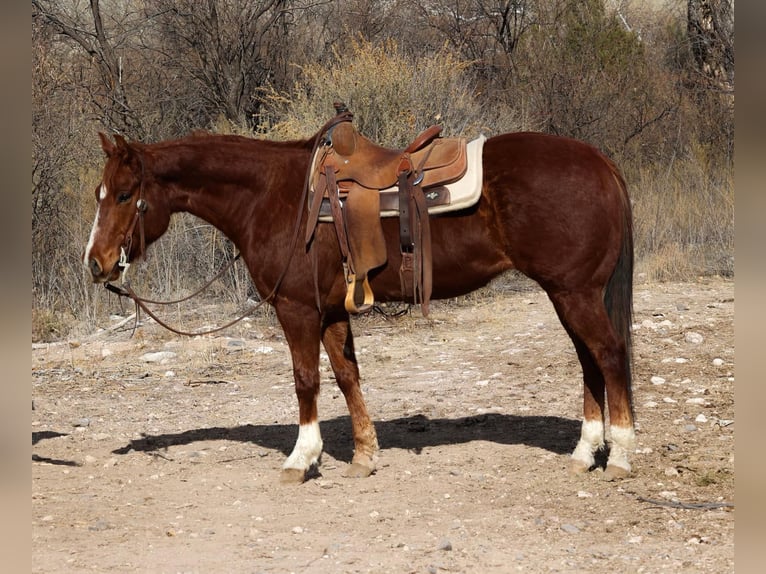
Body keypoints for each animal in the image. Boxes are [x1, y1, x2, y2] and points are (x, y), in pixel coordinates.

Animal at [82, 127, 636, 486]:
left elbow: (306, 380)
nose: (96, 263)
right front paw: (365, 455)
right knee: (590, 362)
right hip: (567, 294)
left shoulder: (297, 309)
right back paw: (585, 452)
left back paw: (621, 455)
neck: (275, 197)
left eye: (126, 194)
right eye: (99, 192)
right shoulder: (330, 311)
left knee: (609, 357)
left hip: (574, 293)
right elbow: (347, 377)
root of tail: (600, 161)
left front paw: (301, 458)